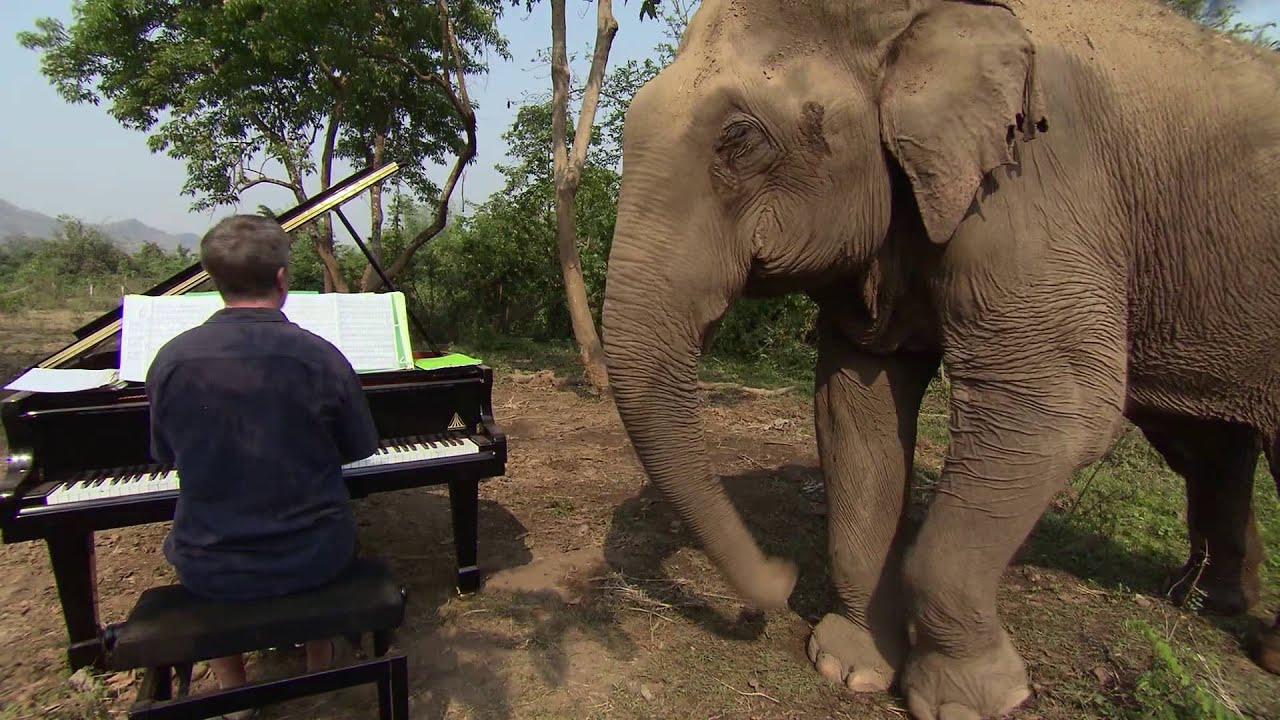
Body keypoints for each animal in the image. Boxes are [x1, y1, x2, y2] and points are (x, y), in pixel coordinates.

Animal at [598, 0, 1280, 718]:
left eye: (739, 139)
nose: (777, 585)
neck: (920, 22)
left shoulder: (1040, 188)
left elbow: (1059, 408)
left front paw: (970, 700)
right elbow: (857, 410)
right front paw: (852, 668)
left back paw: (1262, 648)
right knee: (1205, 447)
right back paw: (1206, 600)